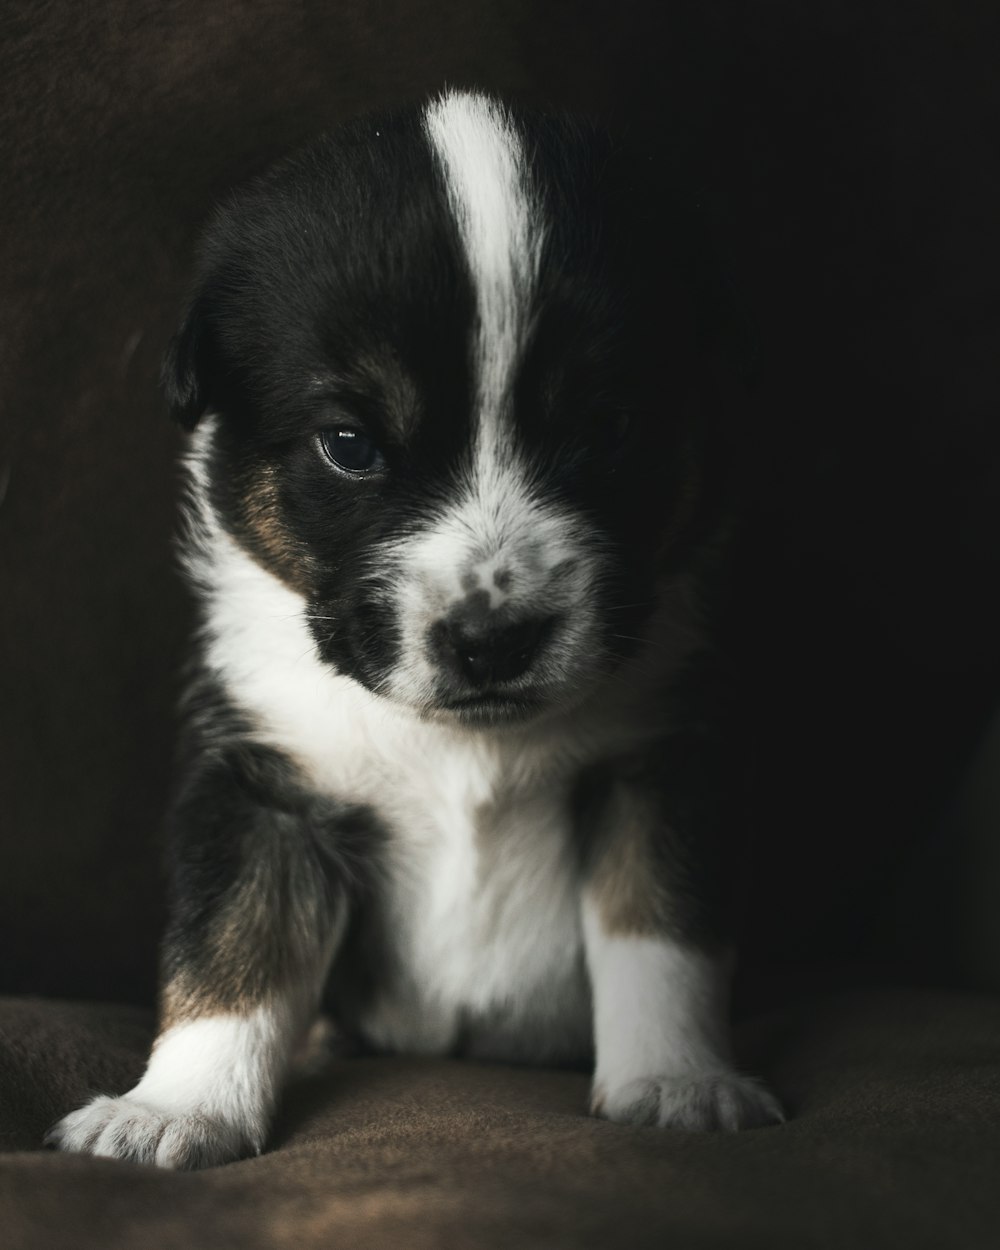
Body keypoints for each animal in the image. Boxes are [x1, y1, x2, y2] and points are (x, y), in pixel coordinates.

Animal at [48, 90, 780, 1170]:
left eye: (607, 427)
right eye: (350, 444)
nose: (493, 639)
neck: (461, 741)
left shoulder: (659, 760)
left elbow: (660, 928)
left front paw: (676, 1079)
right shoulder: (263, 778)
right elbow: (230, 944)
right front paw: (175, 1107)